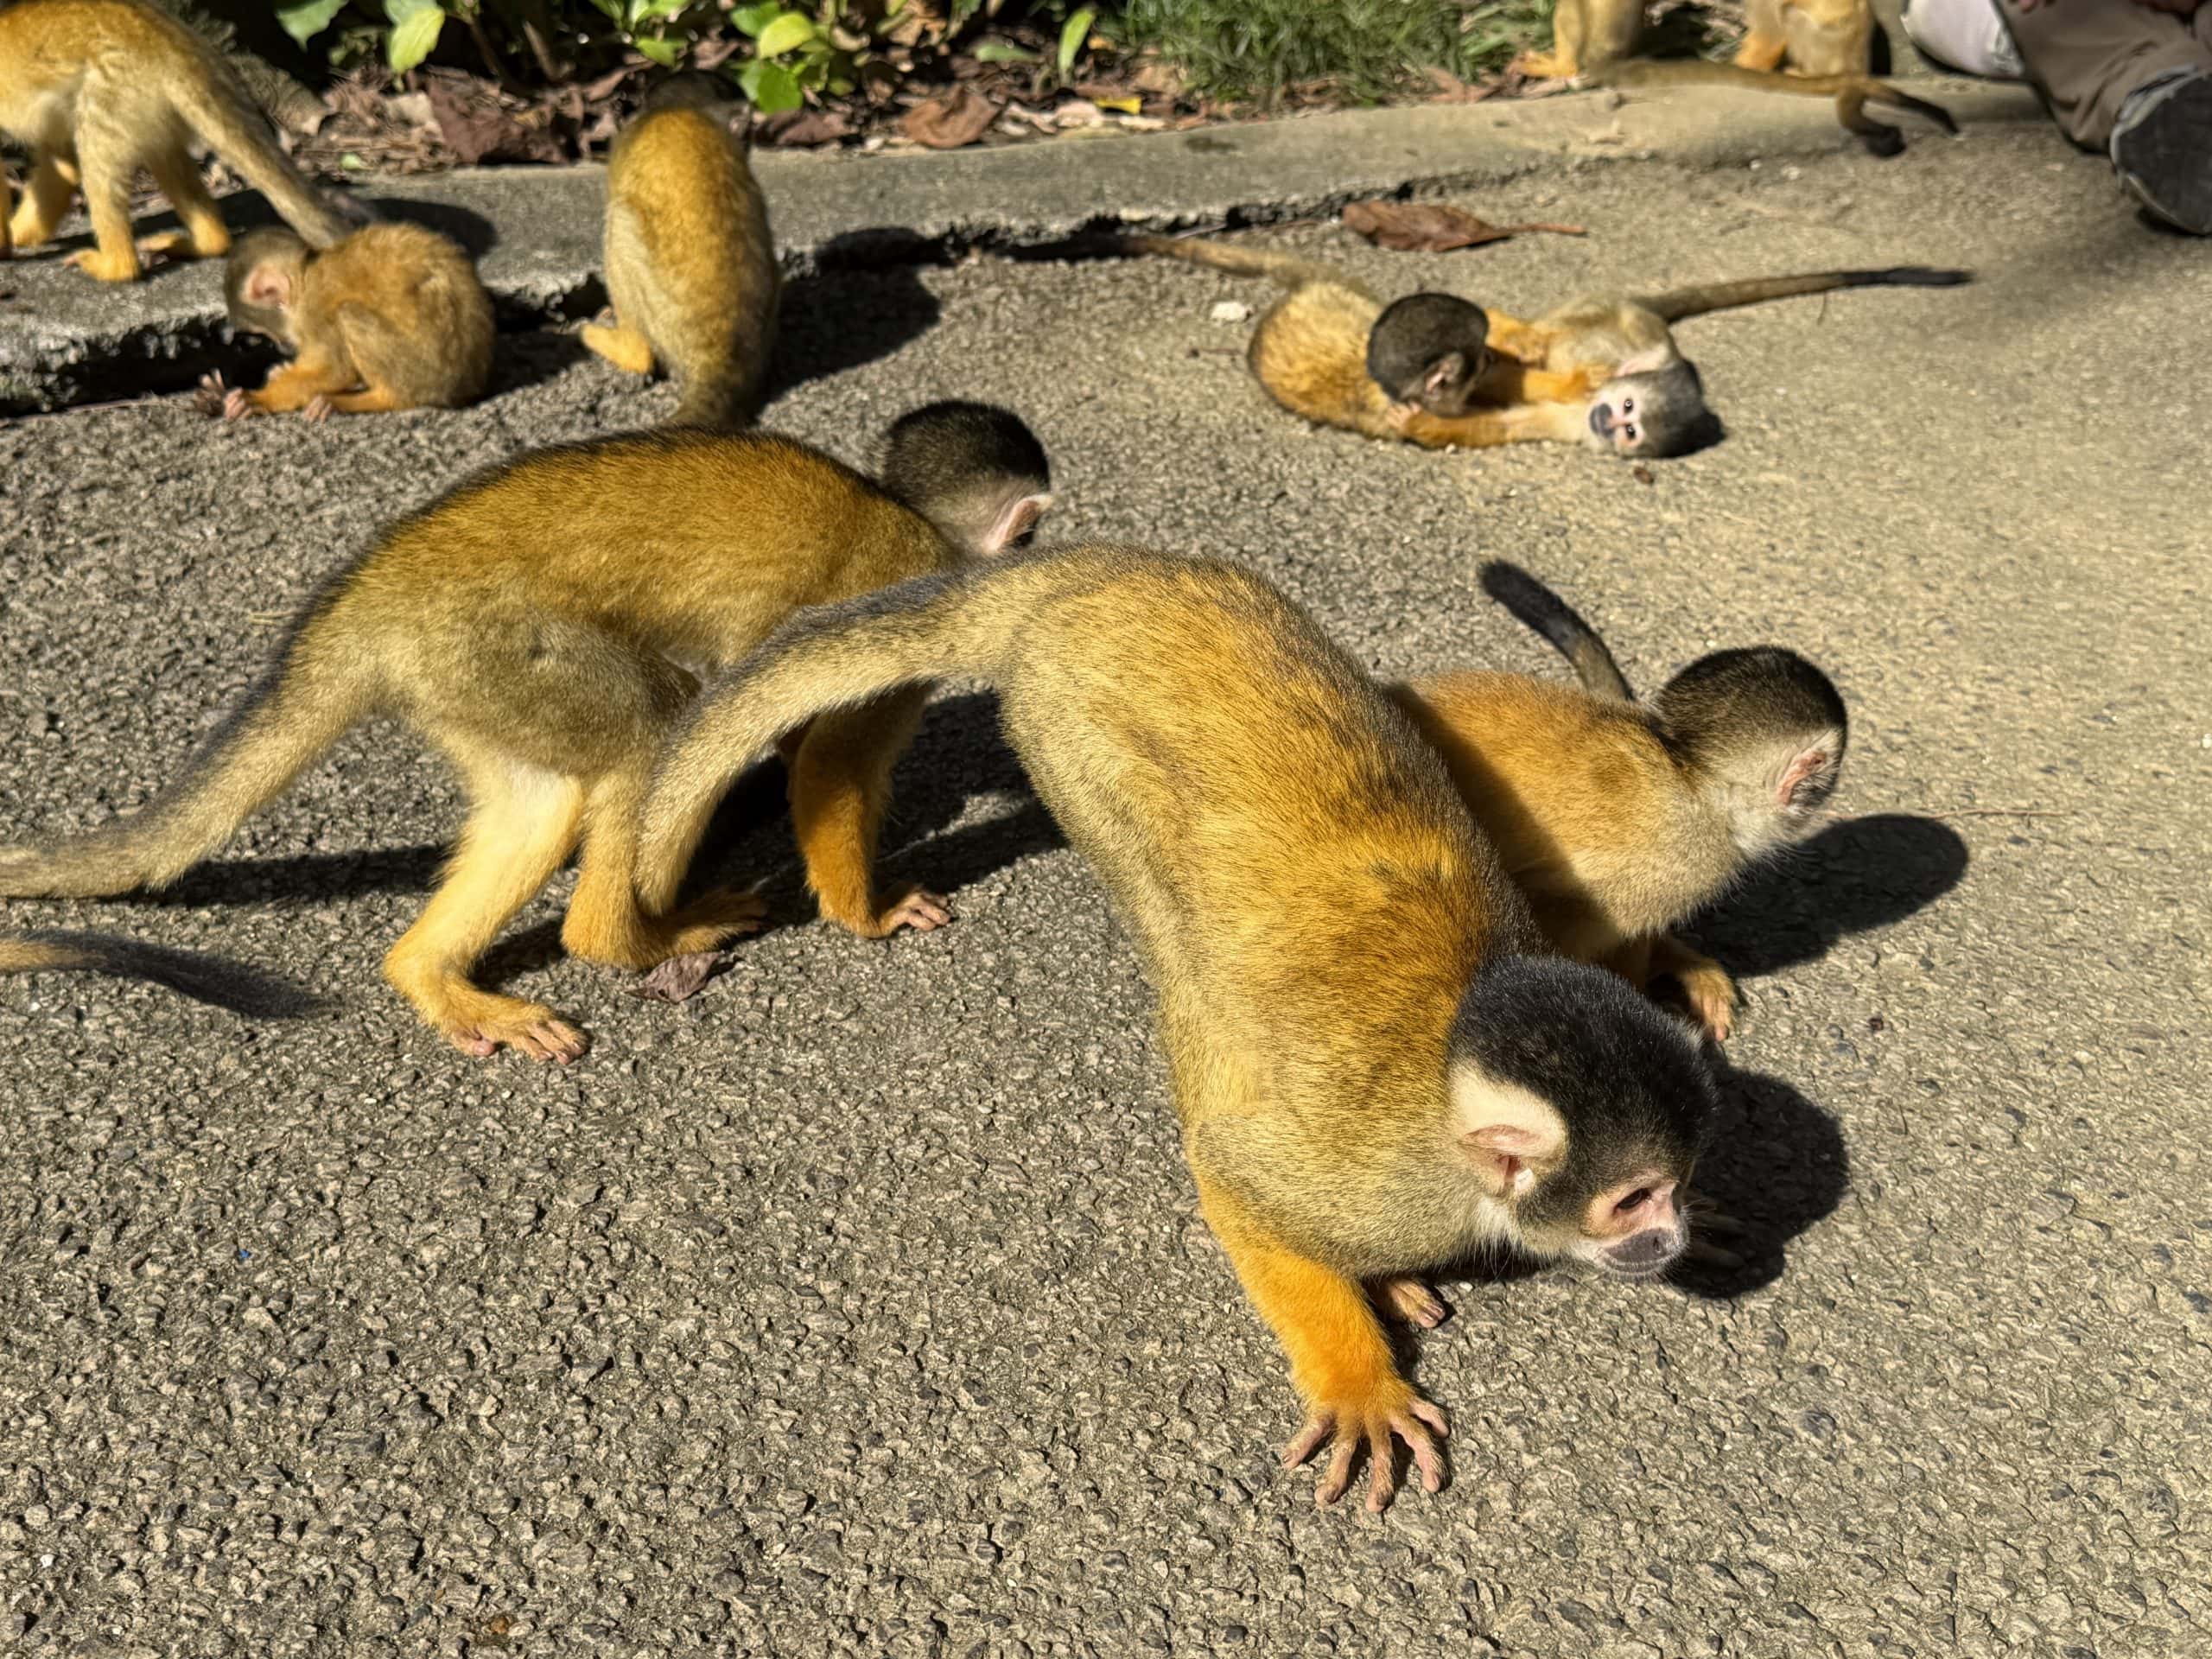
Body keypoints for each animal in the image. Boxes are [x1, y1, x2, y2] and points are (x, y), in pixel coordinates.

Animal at [0, 0, 357, 282]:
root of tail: (171, 44)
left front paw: (5, 242)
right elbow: (61, 158)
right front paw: (17, 236)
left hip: (117, 87)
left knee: (96, 148)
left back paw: (117, 267)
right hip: (150, 100)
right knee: (158, 152)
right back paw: (209, 242)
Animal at [199, 223, 495, 419]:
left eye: (264, 331)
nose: (283, 347)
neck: (307, 278)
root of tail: (467, 384)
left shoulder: (315, 313)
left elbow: (334, 370)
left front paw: (258, 399)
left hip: (422, 370)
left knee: (348, 314)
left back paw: (371, 399)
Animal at [627, 545, 1720, 1510]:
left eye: (1678, 1186)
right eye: (1633, 1199)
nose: (1673, 1237)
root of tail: (1104, 571)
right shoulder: (1383, 1177)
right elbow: (1231, 1175)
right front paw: (1358, 1378)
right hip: (1065, 734)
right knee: (1185, 969)